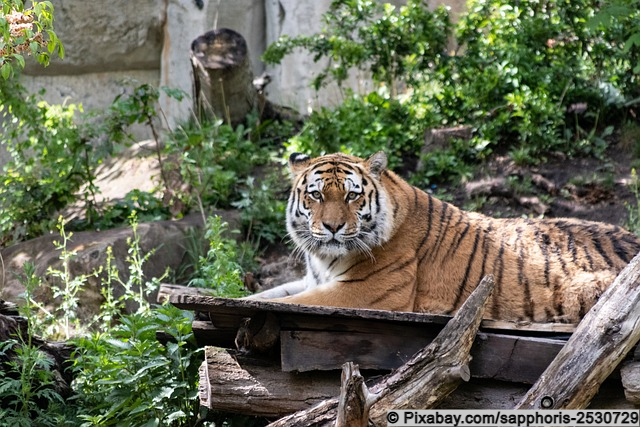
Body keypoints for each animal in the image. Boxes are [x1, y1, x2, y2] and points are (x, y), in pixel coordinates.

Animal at [248, 152, 640, 322]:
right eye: (315, 195)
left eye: (351, 196)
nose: (332, 227)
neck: (326, 257)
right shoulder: (311, 279)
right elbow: (266, 295)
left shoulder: (366, 292)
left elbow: (291, 303)